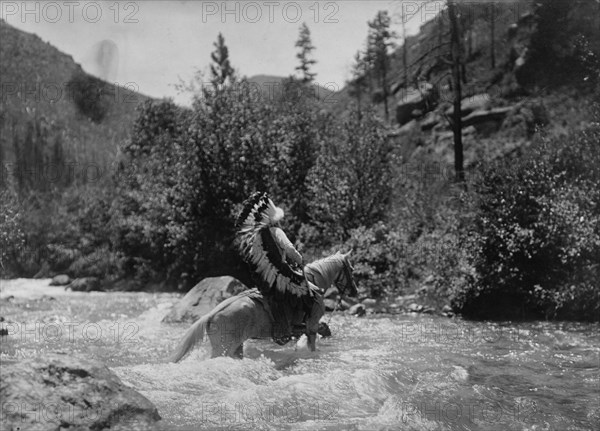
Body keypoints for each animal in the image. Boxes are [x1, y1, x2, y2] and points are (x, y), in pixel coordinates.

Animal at [169, 251, 356, 362]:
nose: (354, 290)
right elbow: (313, 341)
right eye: (351, 270)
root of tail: (210, 315)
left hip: (236, 346)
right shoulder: (311, 324)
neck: (311, 284)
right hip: (224, 348)